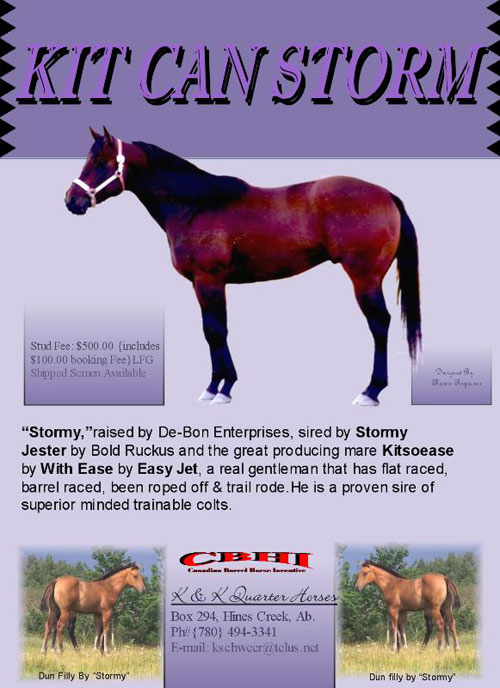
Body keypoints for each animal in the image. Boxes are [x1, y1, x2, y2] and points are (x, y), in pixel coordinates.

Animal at [65, 127, 422, 406]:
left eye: (100, 162)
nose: (71, 200)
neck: (196, 205)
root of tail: (387, 194)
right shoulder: (208, 284)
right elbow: (214, 330)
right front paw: (220, 386)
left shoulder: (208, 281)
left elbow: (214, 331)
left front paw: (218, 388)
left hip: (364, 278)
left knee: (379, 324)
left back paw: (371, 391)